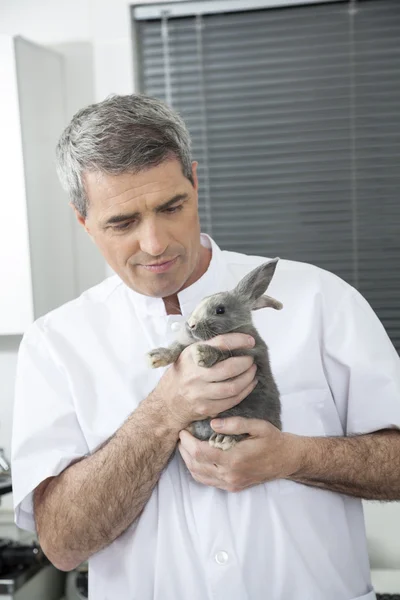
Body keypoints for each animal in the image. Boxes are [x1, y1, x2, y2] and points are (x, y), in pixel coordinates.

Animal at [147, 258, 282, 450]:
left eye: (220, 310)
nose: (190, 324)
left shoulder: (250, 353)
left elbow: (225, 353)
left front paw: (202, 353)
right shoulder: (185, 344)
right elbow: (177, 348)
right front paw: (156, 356)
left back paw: (222, 439)